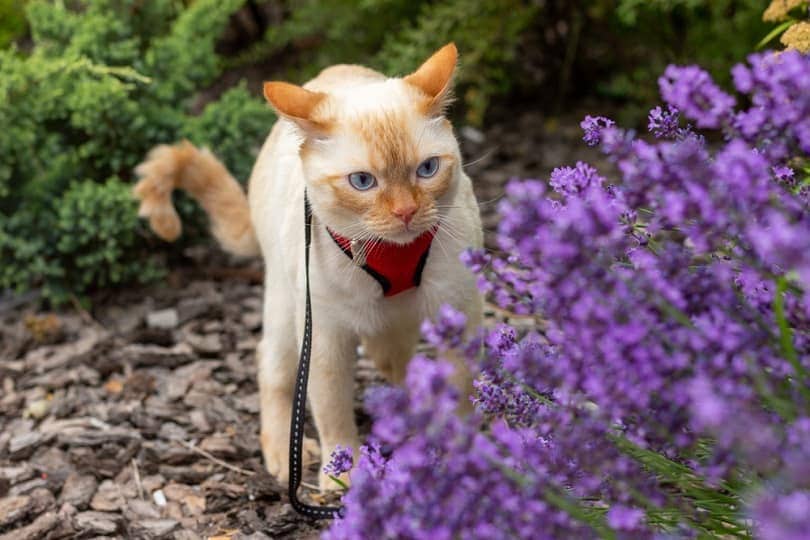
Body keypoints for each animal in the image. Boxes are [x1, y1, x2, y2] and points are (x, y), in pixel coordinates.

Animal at [134, 43, 480, 490]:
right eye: (363, 182)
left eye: (427, 169)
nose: (406, 212)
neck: (392, 254)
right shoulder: (326, 338)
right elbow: (332, 414)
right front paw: (344, 476)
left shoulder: (458, 313)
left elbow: (461, 394)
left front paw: (461, 455)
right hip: (287, 312)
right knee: (272, 366)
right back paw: (283, 454)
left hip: (393, 326)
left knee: (394, 360)